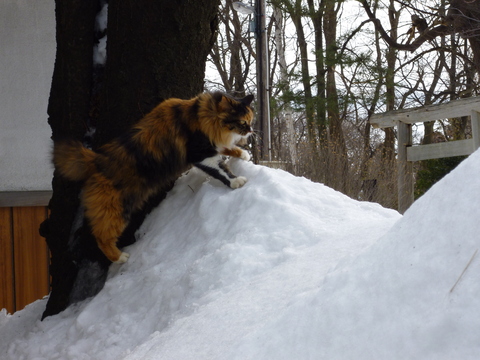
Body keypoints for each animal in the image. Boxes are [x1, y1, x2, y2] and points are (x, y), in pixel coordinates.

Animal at [54, 91, 255, 262]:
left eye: (250, 121)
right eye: (243, 123)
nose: (251, 131)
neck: (198, 115)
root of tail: (95, 159)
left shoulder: (212, 145)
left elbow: (225, 148)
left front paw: (242, 153)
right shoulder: (200, 155)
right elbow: (220, 169)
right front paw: (236, 180)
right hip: (117, 209)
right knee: (101, 237)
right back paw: (120, 257)